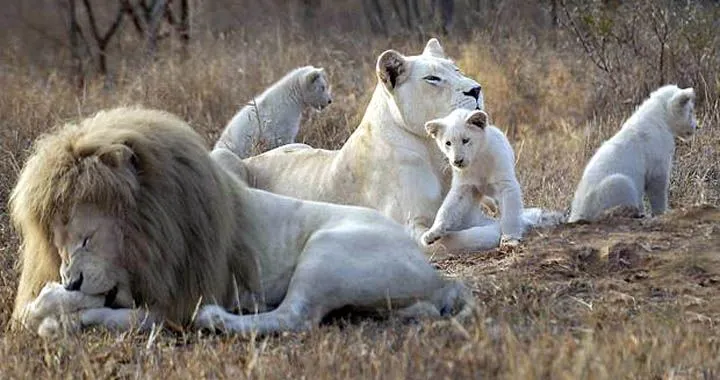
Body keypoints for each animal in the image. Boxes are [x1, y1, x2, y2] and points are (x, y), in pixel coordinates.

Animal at [12, 106, 472, 336]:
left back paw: (216, 319)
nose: (71, 279)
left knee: (294, 318)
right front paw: (55, 309)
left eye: (87, 238)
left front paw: (58, 310)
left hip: (328, 253)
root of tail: (437, 277)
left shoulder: (181, 295)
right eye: (58, 245)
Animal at [420, 110, 524, 246]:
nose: (457, 161)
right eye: (448, 143)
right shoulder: (463, 188)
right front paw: (432, 233)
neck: (477, 160)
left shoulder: (506, 185)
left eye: (465, 140)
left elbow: (510, 212)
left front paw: (510, 238)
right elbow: (446, 209)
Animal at [568, 85, 696, 223]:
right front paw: (661, 212)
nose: (696, 126)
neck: (659, 117)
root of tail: (577, 215)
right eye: (690, 111)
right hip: (617, 185)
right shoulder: (657, 157)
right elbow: (658, 189)